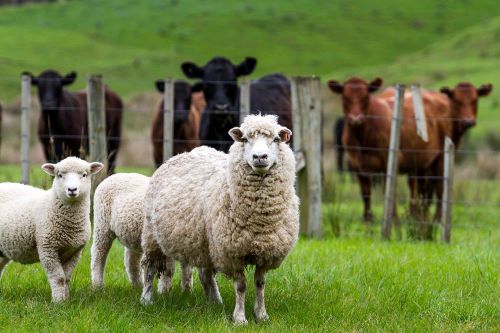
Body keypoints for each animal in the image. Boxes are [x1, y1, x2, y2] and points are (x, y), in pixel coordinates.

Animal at [0, 156, 103, 300]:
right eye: (59, 175)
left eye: (84, 175)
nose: (72, 189)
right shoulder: (47, 248)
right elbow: (59, 278)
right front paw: (58, 301)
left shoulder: (74, 251)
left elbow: (66, 278)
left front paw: (66, 299)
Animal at [141, 113, 298, 322]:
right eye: (245, 139)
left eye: (276, 139)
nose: (259, 157)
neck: (259, 221)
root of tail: (182, 154)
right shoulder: (232, 252)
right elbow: (241, 285)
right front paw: (240, 318)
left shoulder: (265, 251)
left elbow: (260, 284)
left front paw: (261, 315)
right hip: (152, 234)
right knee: (150, 267)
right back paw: (146, 299)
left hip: (205, 242)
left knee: (205, 274)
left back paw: (215, 301)